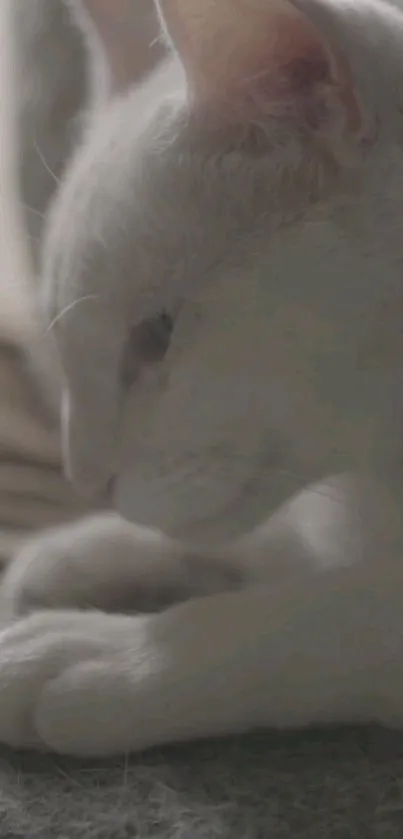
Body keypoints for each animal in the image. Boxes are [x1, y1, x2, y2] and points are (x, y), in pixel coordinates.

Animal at [2, 0, 403, 760]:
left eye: (157, 335)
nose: (86, 478)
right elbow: (276, 541)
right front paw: (84, 549)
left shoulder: (360, 617)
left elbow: (315, 618)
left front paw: (108, 654)